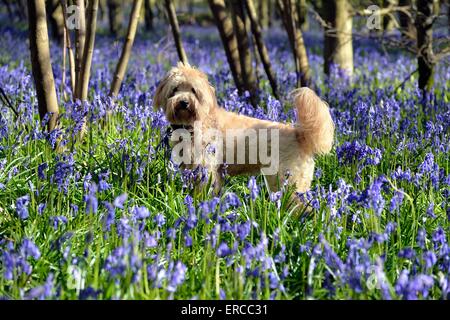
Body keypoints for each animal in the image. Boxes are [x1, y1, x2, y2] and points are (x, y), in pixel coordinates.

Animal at [155, 62, 334, 209]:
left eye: (193, 90)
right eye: (175, 89)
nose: (184, 102)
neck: (197, 122)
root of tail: (300, 134)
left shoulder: (206, 171)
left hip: (288, 182)